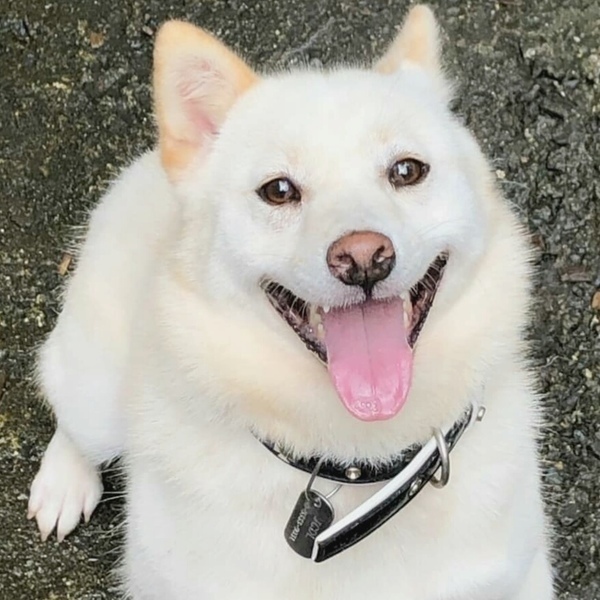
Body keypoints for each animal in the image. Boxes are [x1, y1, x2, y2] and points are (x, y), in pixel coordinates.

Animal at [28, 5, 554, 599]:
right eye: (278, 191)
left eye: (407, 170)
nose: (363, 258)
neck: (358, 458)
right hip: (93, 387)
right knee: (69, 415)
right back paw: (63, 483)